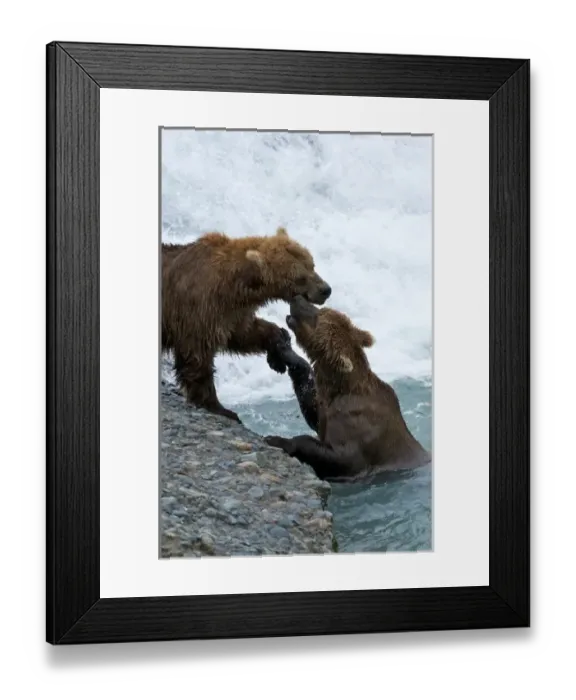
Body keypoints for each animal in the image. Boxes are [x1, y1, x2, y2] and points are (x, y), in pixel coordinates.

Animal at [161, 228, 332, 423]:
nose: (325, 290)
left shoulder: (231, 311)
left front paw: (278, 346)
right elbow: (198, 354)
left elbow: (244, 333)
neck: (236, 285)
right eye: (300, 277)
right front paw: (221, 407)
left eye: (312, 265)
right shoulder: (200, 307)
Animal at [264, 295, 431, 482]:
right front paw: (283, 346)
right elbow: (312, 408)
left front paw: (276, 439)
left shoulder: (356, 423)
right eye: (322, 310)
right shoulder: (326, 406)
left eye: (318, 315)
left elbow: (343, 459)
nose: (297, 298)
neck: (341, 388)